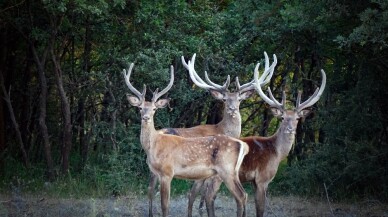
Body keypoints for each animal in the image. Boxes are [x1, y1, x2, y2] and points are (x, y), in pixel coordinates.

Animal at [123, 62, 250, 217]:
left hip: (226, 170)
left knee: (240, 195)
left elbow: (165, 206)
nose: (145, 118)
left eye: (154, 109)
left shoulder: (167, 172)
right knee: (243, 194)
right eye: (140, 107)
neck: (154, 145)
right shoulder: (158, 172)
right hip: (232, 172)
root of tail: (242, 144)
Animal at [192, 67, 326, 216]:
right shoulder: (263, 178)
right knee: (209, 196)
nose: (290, 129)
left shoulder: (254, 181)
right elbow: (260, 208)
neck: (276, 152)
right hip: (220, 175)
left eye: (297, 118)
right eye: (283, 118)